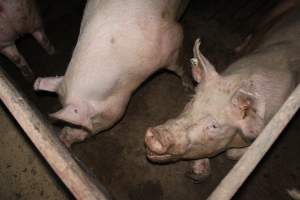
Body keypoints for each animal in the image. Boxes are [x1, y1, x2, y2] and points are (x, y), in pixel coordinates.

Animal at [144, 5, 300, 181]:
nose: (157, 134)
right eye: (191, 102)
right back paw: (237, 49)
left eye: (214, 126)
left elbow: (232, 154)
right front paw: (197, 172)